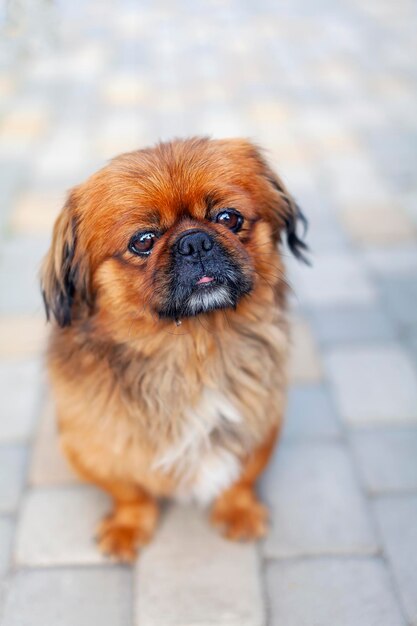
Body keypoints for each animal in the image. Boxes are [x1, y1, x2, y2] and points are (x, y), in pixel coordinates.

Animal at [40, 138, 308, 560]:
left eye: (229, 218)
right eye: (143, 241)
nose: (194, 241)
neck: (193, 351)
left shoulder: (262, 422)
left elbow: (242, 475)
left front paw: (239, 510)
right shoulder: (90, 445)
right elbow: (129, 490)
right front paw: (129, 526)